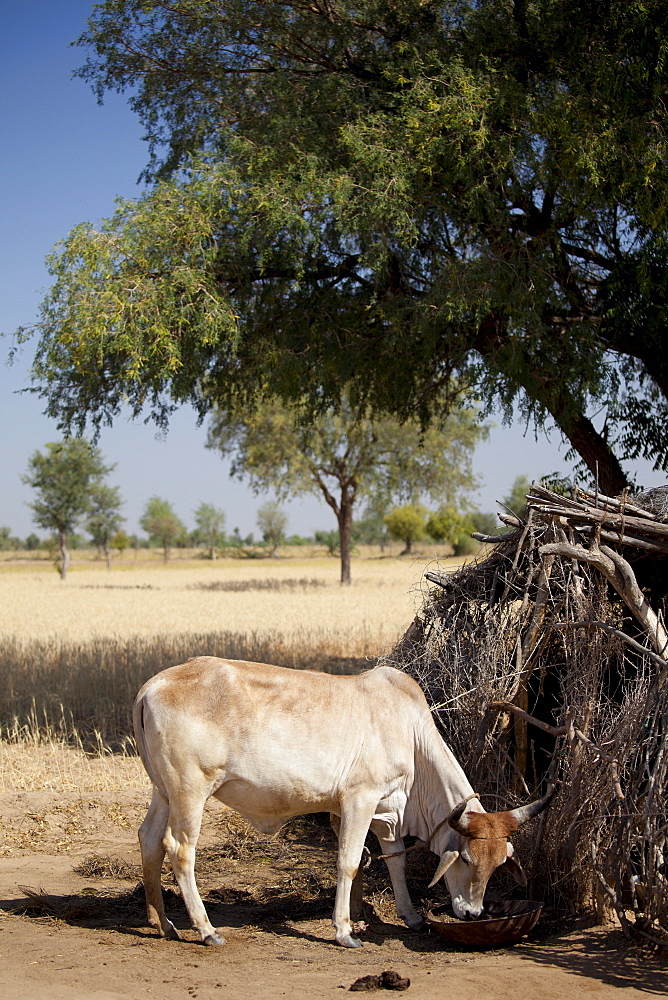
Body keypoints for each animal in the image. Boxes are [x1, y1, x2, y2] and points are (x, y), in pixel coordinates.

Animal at [132, 656, 552, 944]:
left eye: (499, 863)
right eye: (465, 859)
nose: (473, 912)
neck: (410, 735)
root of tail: (152, 685)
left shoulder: (385, 814)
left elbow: (394, 863)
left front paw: (409, 916)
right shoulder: (358, 801)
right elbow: (349, 863)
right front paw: (345, 930)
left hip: (164, 791)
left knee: (149, 839)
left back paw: (163, 923)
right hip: (190, 791)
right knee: (179, 849)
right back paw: (206, 929)